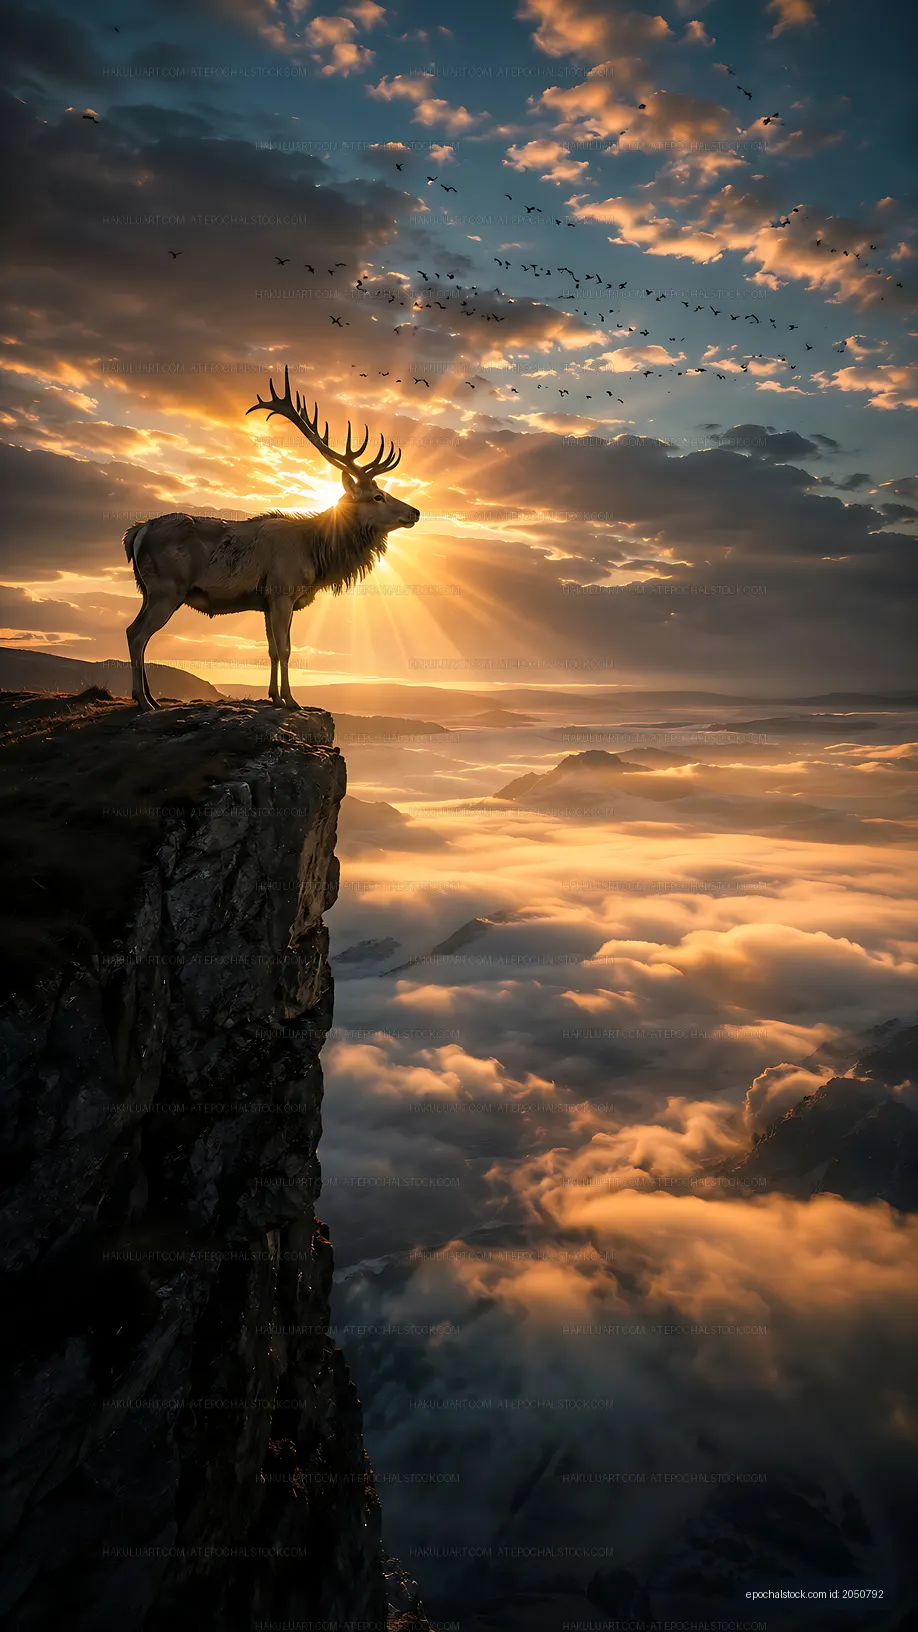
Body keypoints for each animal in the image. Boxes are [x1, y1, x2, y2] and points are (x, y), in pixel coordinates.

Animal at [123, 367, 420, 711]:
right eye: (378, 496)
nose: (415, 511)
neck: (316, 556)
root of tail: (135, 533)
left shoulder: (266, 600)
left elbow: (271, 649)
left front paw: (274, 695)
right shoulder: (282, 591)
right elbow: (285, 648)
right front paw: (291, 699)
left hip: (148, 591)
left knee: (137, 633)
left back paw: (151, 699)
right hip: (166, 589)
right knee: (137, 633)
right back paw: (143, 701)